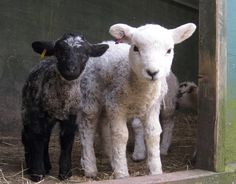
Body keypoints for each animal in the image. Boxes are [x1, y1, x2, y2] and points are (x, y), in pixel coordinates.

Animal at [21, 33, 108, 182]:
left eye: (85, 54)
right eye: (59, 52)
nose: (71, 70)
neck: (62, 100)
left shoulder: (71, 116)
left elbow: (67, 140)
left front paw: (65, 173)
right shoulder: (36, 114)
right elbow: (37, 139)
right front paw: (37, 173)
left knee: (46, 137)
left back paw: (47, 165)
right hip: (26, 109)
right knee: (28, 135)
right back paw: (31, 165)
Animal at [77, 22, 195, 178]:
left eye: (169, 50)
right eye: (135, 48)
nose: (152, 72)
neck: (141, 91)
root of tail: (106, 43)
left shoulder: (152, 106)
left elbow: (153, 133)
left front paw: (156, 172)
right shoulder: (116, 105)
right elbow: (120, 135)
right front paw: (122, 174)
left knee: (104, 126)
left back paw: (112, 159)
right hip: (91, 94)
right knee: (87, 127)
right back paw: (90, 167)